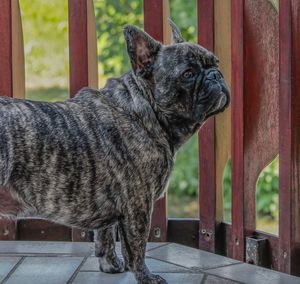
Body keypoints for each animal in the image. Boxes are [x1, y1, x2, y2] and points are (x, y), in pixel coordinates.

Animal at [0, 21, 230, 282]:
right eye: (188, 74)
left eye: (216, 63)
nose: (215, 75)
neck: (145, 109)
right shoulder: (138, 204)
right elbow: (137, 247)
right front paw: (146, 277)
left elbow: (105, 235)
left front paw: (110, 265)